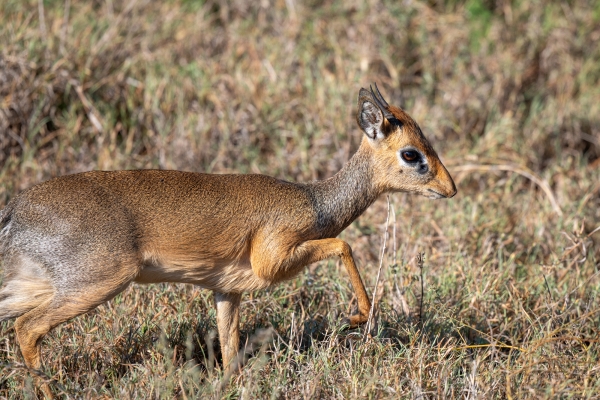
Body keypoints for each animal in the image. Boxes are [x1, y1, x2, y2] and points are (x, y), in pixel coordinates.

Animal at [0, 85, 454, 394]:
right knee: (27, 328)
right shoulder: (272, 262)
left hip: (33, 285)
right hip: (99, 281)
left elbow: (231, 354)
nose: (450, 188)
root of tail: (16, 210)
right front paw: (360, 315)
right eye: (412, 154)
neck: (312, 201)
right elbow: (344, 245)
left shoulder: (226, 291)